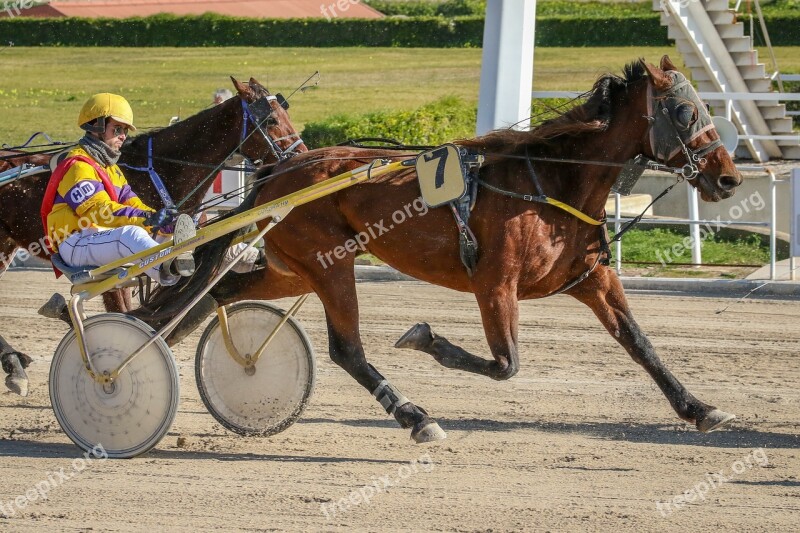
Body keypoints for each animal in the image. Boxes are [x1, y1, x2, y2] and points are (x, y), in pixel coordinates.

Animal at [0, 76, 306, 390]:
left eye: (286, 112)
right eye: (271, 120)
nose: (301, 154)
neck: (161, 170)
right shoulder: (112, 270)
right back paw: (15, 363)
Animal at [152, 57, 744, 440]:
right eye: (686, 113)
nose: (730, 178)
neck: (552, 182)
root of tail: (279, 170)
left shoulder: (592, 278)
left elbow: (639, 342)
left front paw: (699, 408)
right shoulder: (495, 284)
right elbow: (505, 365)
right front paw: (425, 338)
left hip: (292, 268)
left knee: (216, 293)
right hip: (330, 264)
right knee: (346, 350)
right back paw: (415, 417)